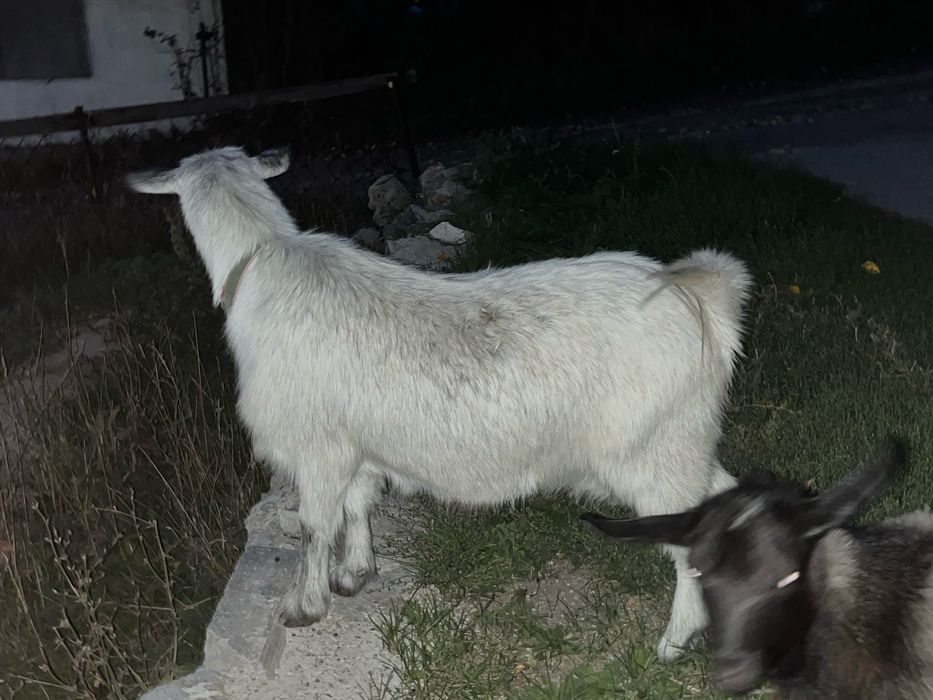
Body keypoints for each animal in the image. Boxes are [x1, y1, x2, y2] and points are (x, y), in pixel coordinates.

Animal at [126, 146, 752, 660]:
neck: (261, 259)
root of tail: (703, 298)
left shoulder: (317, 447)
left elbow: (314, 526)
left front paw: (304, 606)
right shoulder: (355, 444)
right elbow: (358, 505)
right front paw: (355, 574)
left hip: (654, 451)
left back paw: (675, 640)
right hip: (685, 439)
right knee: (726, 499)